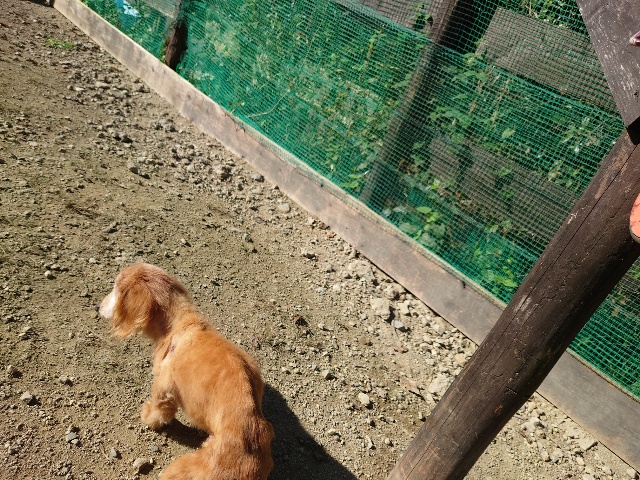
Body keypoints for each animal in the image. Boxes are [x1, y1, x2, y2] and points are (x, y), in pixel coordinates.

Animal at [98, 263, 274, 480]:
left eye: (116, 289)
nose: (97, 307)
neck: (178, 326)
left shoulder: (164, 387)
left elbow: (158, 410)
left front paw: (148, 417)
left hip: (179, 468)